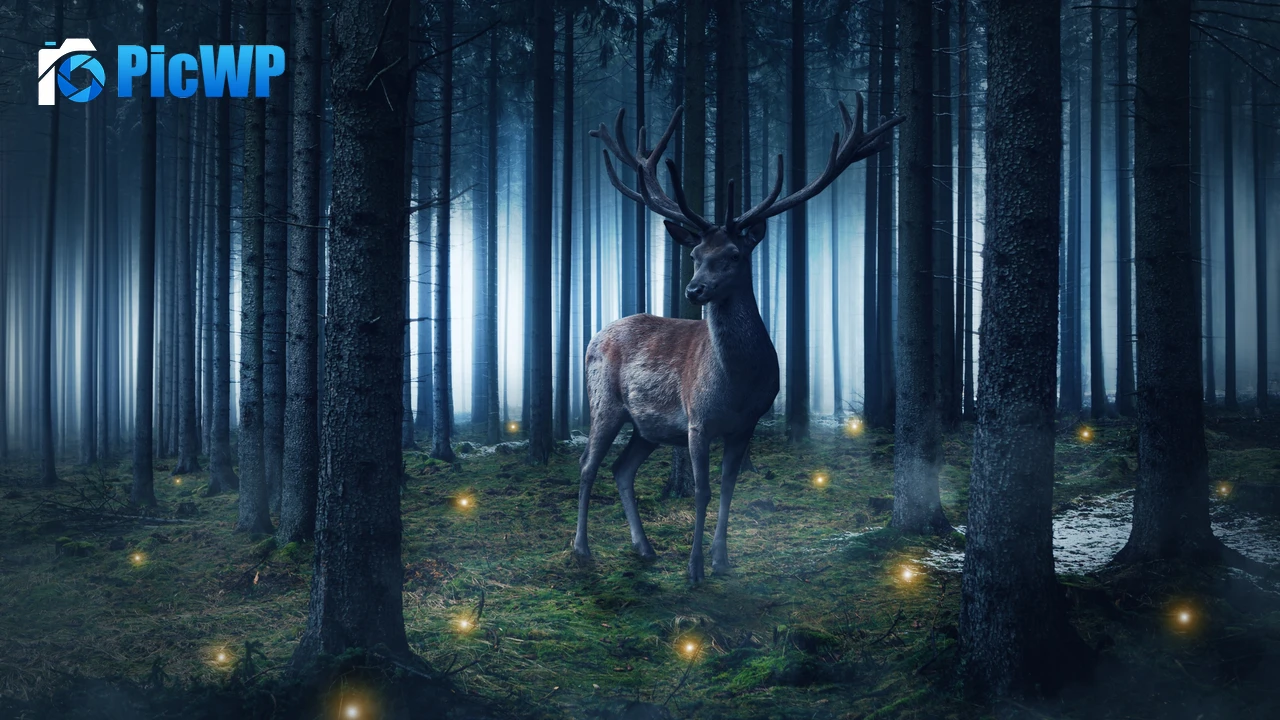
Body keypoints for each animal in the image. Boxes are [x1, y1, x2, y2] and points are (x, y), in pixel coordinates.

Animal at [573, 96, 903, 582]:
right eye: (694, 253)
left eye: (733, 254)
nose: (693, 290)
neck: (738, 384)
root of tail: (594, 336)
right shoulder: (697, 420)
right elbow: (702, 491)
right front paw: (694, 570)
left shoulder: (747, 424)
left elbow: (729, 489)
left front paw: (722, 560)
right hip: (605, 402)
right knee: (587, 465)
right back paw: (581, 549)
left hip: (647, 427)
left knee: (621, 469)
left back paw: (645, 548)